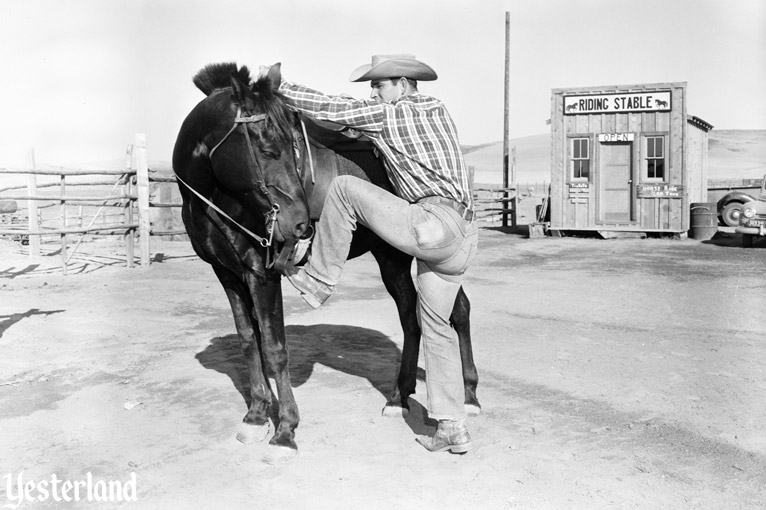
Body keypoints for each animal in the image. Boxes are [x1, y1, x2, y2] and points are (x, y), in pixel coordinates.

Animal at [174, 62, 480, 450]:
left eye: (292, 143)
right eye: (266, 148)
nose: (299, 224)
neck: (218, 198)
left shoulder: (262, 274)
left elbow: (274, 348)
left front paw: (286, 430)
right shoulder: (227, 274)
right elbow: (248, 341)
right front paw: (257, 415)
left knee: (456, 311)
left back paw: (468, 397)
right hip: (392, 257)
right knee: (412, 316)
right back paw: (399, 396)